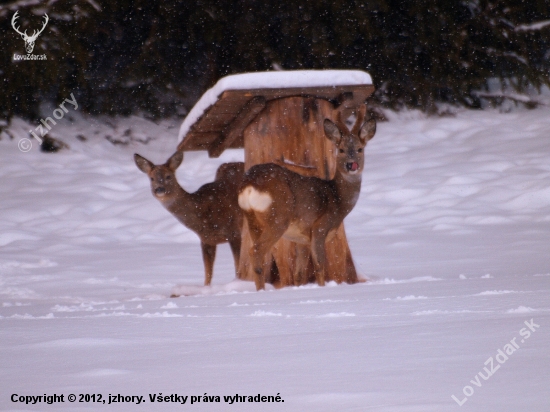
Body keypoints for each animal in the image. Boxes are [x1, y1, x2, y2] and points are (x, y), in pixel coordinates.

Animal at [135, 151, 245, 286]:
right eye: (151, 178)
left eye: (168, 176)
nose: (159, 189)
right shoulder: (206, 240)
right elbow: (208, 274)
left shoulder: (234, 231)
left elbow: (237, 267)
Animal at [239, 106, 378, 292]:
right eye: (340, 149)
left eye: (360, 149)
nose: (352, 164)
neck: (337, 200)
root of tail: (249, 183)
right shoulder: (319, 226)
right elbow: (320, 265)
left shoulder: (302, 238)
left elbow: (299, 273)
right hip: (278, 219)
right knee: (255, 252)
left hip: (251, 219)